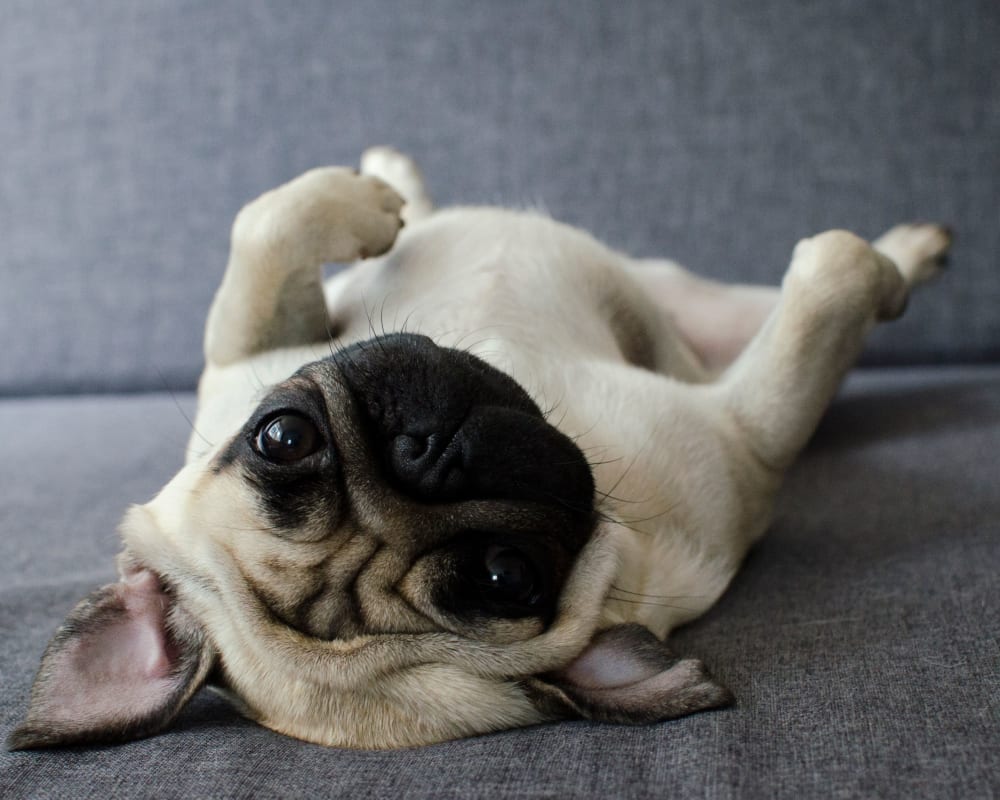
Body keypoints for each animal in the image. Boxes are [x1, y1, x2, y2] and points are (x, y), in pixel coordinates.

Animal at [7, 145, 948, 752]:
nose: (430, 452)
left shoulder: (243, 356)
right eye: (507, 577)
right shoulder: (744, 442)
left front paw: (361, 199)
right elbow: (826, 294)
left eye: (281, 436)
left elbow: (263, 231)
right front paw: (856, 271)